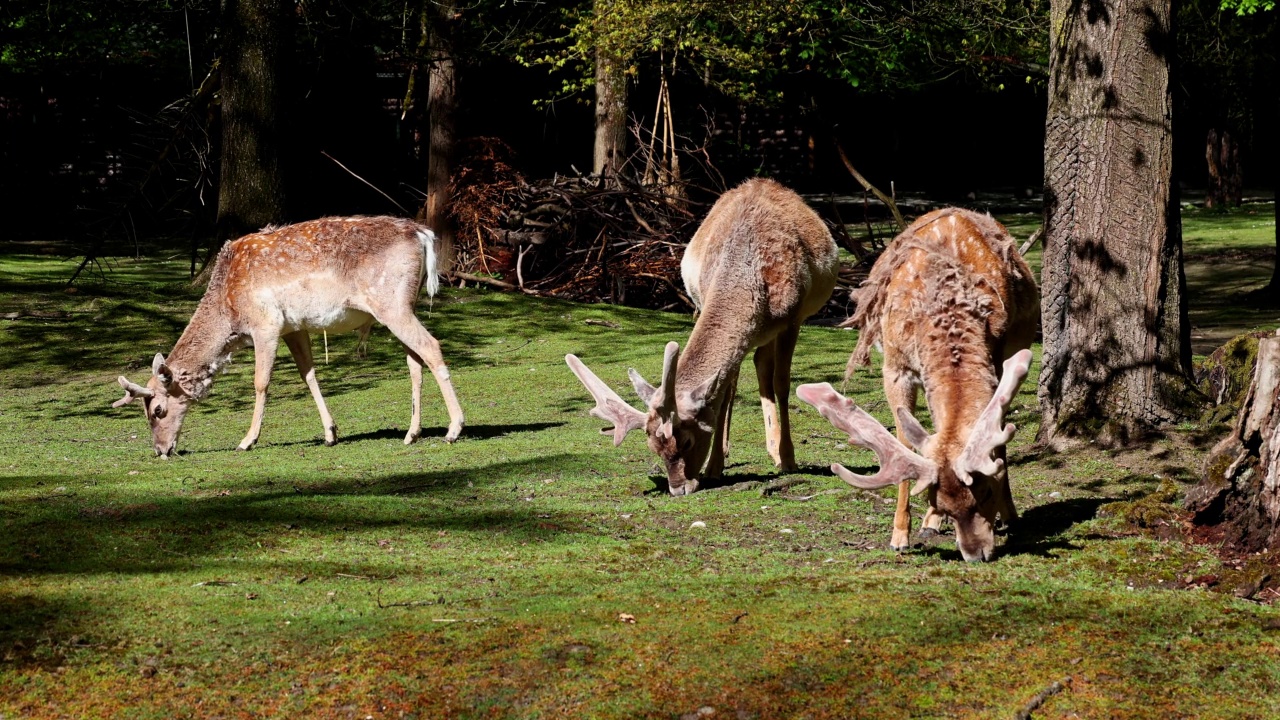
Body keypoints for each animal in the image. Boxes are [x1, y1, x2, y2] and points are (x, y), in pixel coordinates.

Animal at [112, 215, 465, 456]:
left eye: (158, 410)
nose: (161, 450)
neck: (229, 310)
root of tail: (423, 234)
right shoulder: (295, 327)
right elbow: (308, 374)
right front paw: (330, 433)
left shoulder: (265, 324)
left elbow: (261, 382)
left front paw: (247, 440)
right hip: (403, 304)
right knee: (415, 360)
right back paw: (412, 433)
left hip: (391, 303)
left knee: (431, 346)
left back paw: (454, 429)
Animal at [568, 178, 839, 491]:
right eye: (653, 448)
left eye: (686, 441)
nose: (678, 489)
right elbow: (724, 393)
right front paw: (714, 466)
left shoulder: (793, 320)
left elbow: (782, 383)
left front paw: (789, 459)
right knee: (751, 368)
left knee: (764, 369)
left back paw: (775, 451)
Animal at [798, 207, 1039, 561]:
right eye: (936, 499)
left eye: (986, 493)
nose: (976, 554)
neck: (947, 308)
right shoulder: (896, 366)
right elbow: (905, 441)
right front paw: (900, 535)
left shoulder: (997, 356)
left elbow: (996, 440)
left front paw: (1009, 514)